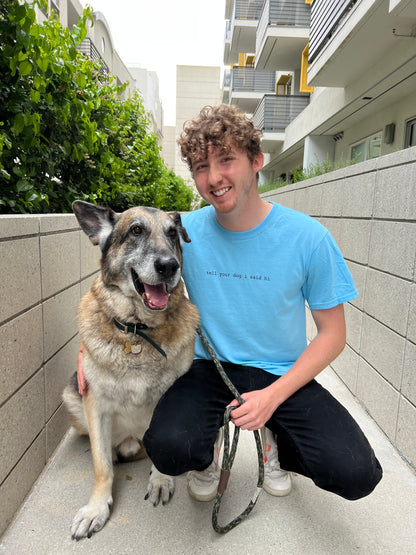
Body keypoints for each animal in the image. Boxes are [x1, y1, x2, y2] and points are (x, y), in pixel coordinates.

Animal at [62, 202, 199, 540]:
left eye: (172, 233)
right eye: (136, 230)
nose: (169, 266)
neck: (137, 331)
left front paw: (161, 479)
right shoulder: (95, 404)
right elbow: (101, 466)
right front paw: (97, 507)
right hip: (71, 396)